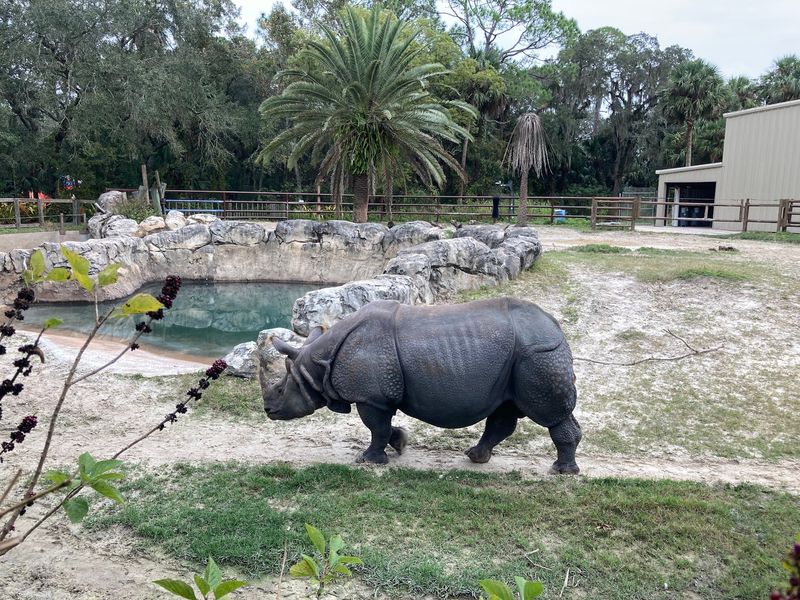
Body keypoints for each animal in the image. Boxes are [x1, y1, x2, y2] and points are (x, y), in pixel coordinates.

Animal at [263, 297, 582, 474]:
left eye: (279, 390)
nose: (267, 410)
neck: (319, 363)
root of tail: (555, 327)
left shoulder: (372, 396)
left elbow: (376, 427)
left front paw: (367, 460)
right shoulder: (379, 396)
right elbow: (383, 427)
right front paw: (401, 444)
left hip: (537, 354)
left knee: (549, 414)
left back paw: (561, 471)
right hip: (517, 361)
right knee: (504, 410)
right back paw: (476, 458)